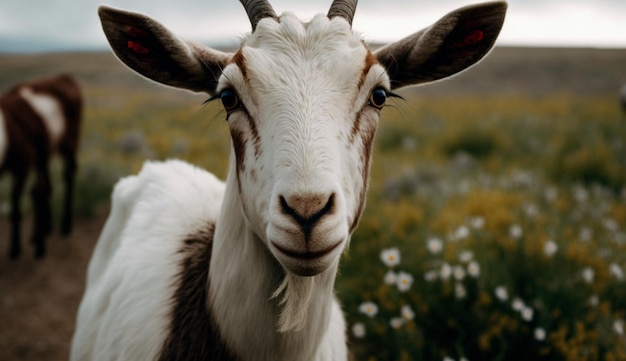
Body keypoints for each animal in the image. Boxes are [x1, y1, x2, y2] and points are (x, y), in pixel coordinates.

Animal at [0, 74, 81, 258]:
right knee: (45, 187)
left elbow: (17, 202)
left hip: (69, 141)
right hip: (45, 153)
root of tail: (63, 76)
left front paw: (16, 249)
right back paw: (44, 230)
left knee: (68, 174)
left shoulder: (22, 163)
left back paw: (64, 226)